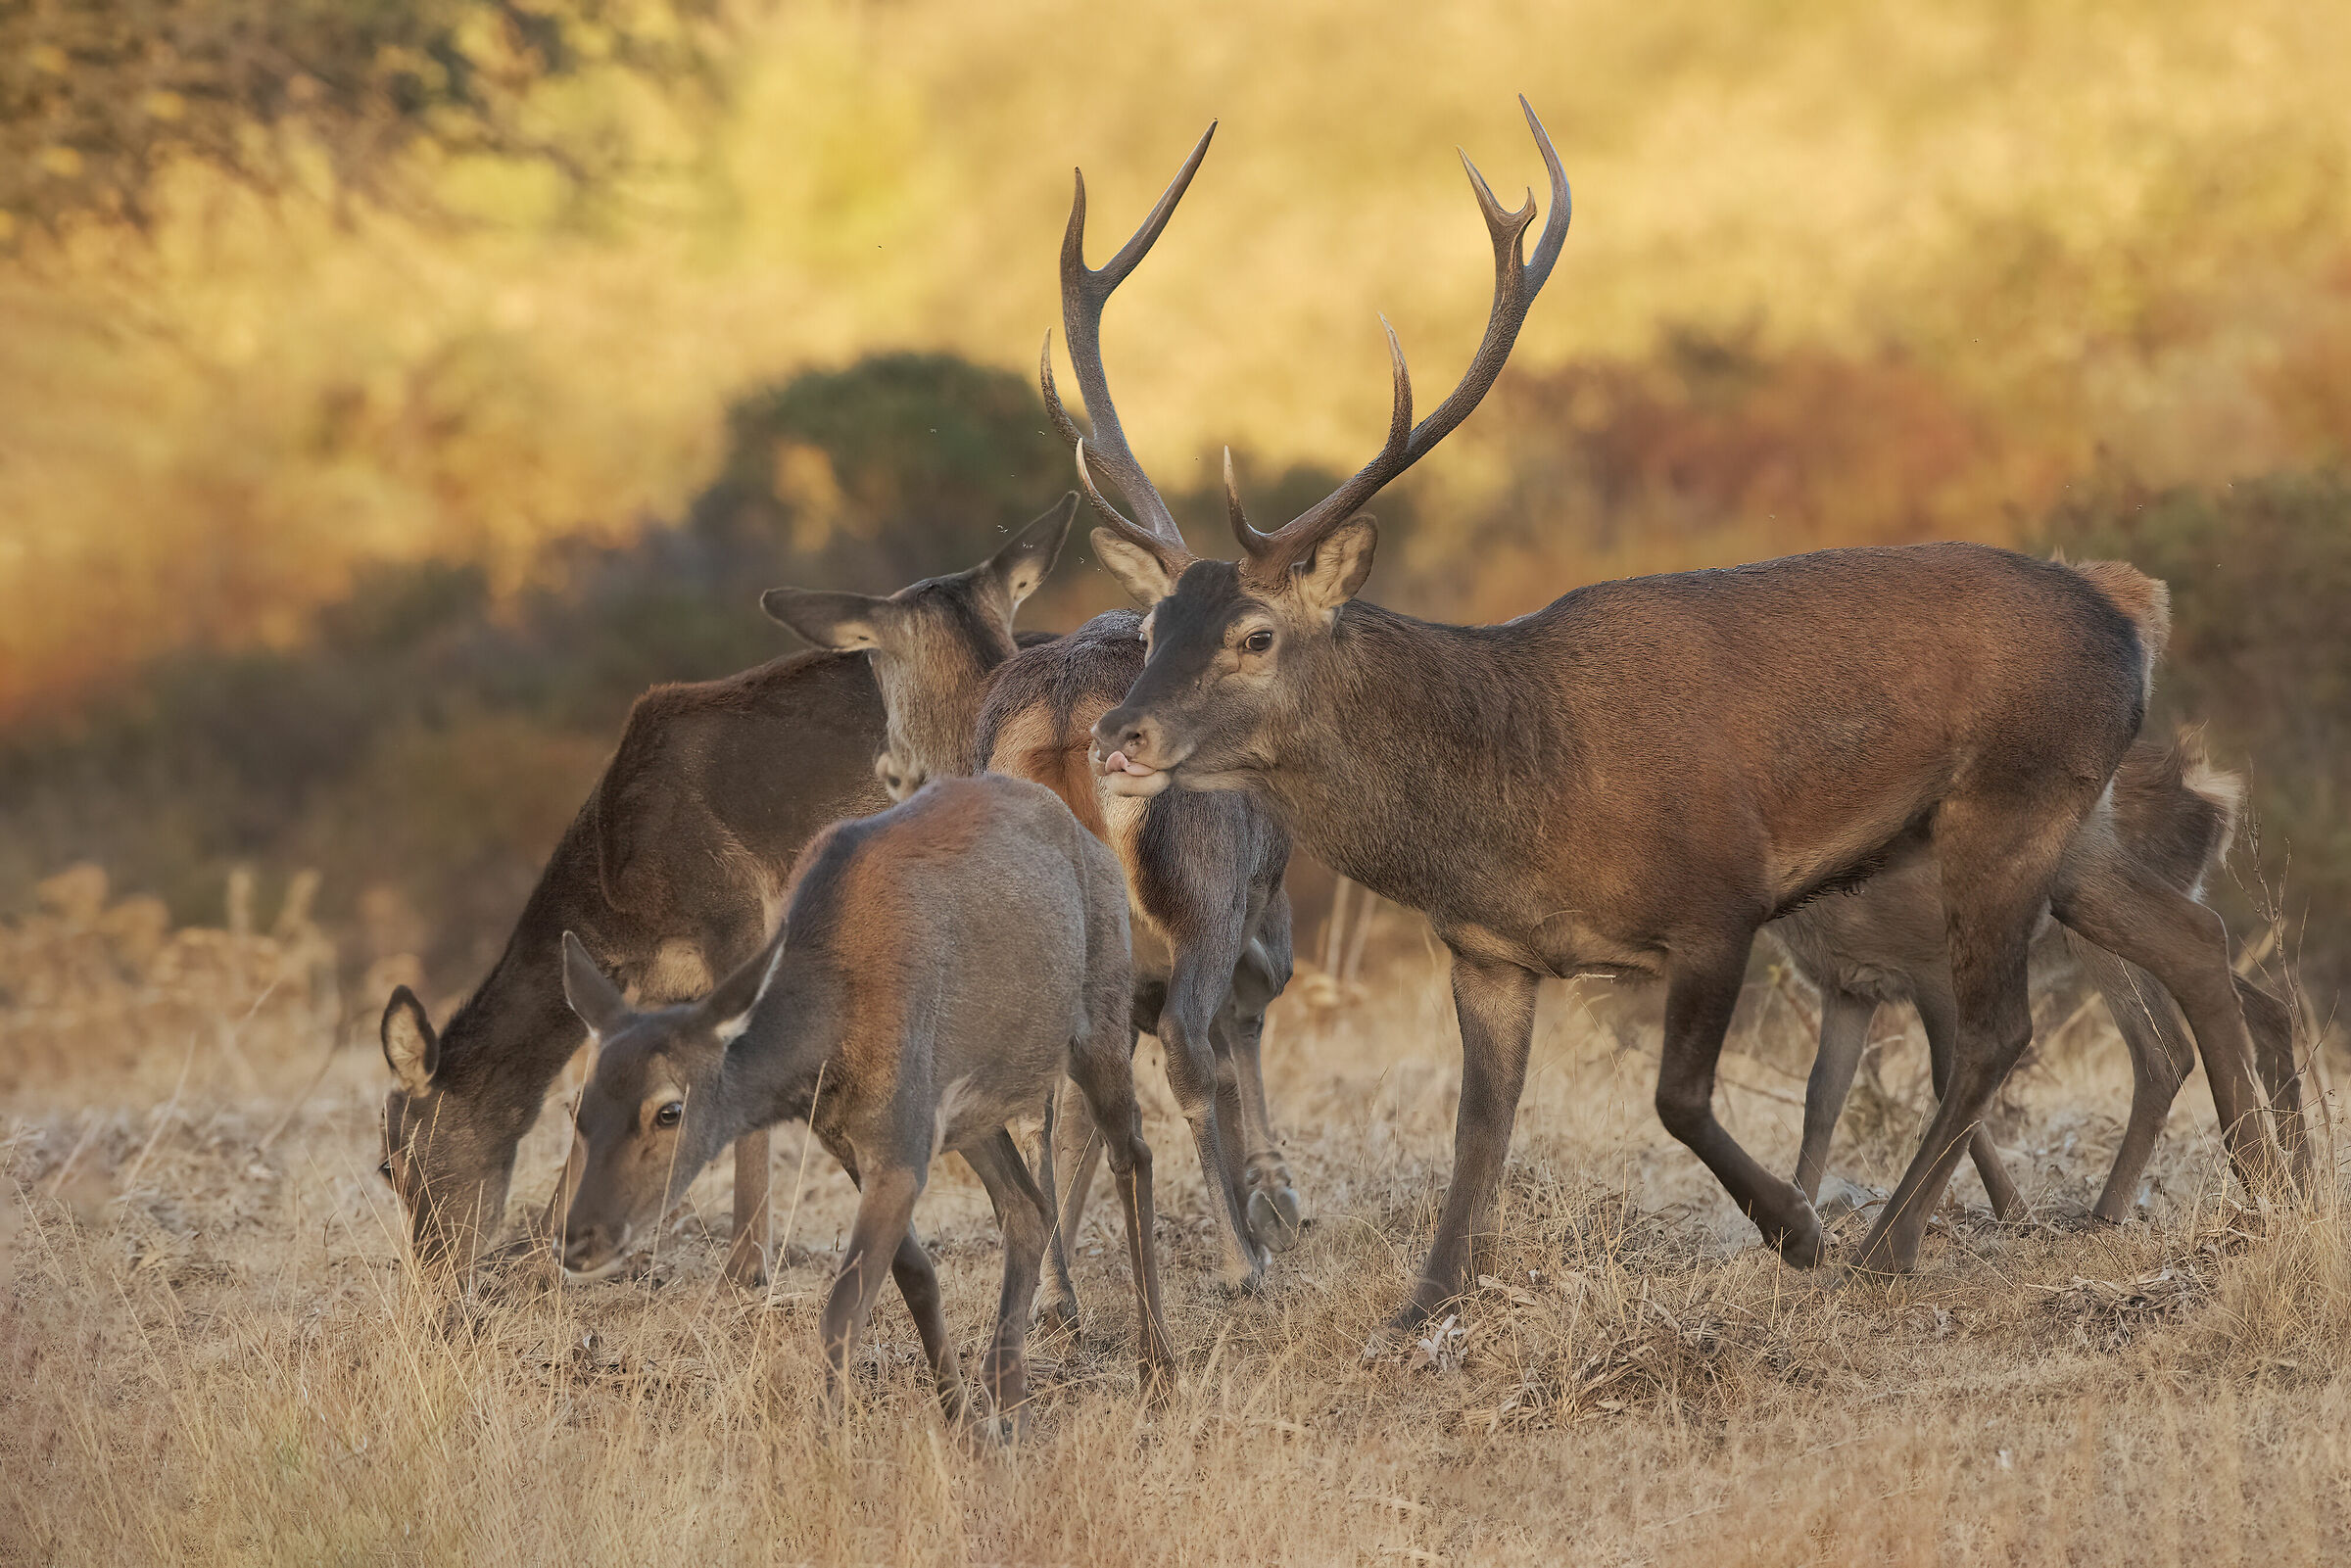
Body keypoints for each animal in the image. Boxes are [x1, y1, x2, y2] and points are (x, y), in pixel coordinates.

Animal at [376, 500, 1076, 1286]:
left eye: (391, 1162)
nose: (433, 1269)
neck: (620, 904)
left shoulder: (733, 915)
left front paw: (745, 1268)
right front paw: (546, 1249)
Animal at [553, 771, 1172, 1431]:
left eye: (669, 1110)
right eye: (578, 1110)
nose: (578, 1239)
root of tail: (1091, 837)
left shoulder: (899, 1141)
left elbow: (844, 1306)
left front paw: (827, 1438)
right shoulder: (850, 1138)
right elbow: (914, 1274)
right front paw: (957, 1417)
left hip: (1101, 1015)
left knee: (1133, 1153)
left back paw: (1157, 1369)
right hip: (967, 1109)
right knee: (1026, 1206)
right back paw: (1008, 1398)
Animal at [1775, 732, 2309, 1221]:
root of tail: (2213, 798)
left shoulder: (1932, 967)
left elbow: (1946, 1078)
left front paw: (2014, 1211)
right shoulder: (1847, 988)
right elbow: (1821, 1096)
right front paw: (1795, 1216)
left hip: (2102, 929)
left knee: (2166, 1049)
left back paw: (2106, 1214)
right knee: (2266, 1009)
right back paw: (2301, 1179)